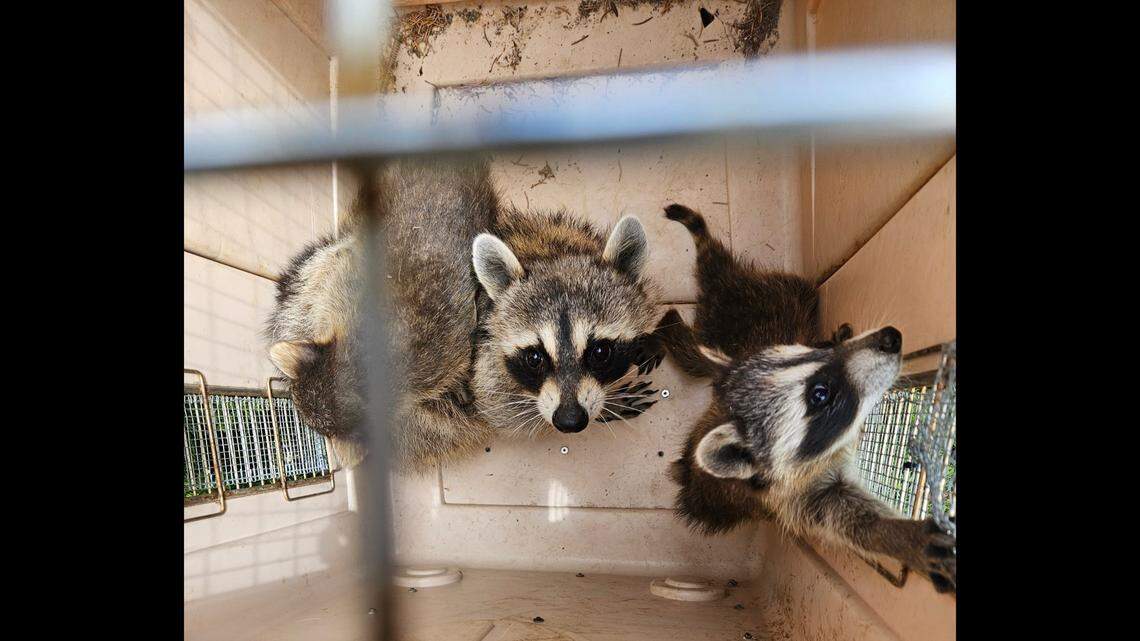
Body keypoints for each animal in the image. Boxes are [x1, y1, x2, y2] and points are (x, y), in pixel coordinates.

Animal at [656, 204, 956, 594]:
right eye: (820, 394)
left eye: (816, 352)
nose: (890, 337)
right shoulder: (788, 494)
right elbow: (844, 517)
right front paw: (900, 537)